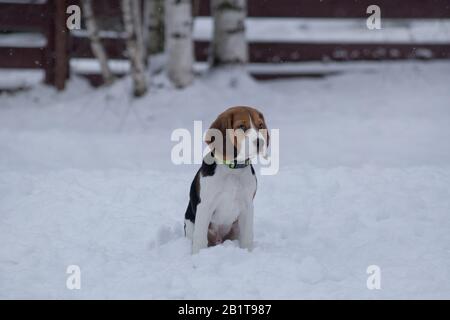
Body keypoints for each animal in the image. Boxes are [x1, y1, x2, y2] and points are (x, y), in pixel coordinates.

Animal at [185, 106, 268, 254]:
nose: (261, 142)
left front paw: (248, 253)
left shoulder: (247, 206)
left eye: (260, 125)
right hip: (189, 224)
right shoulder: (205, 206)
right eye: (241, 126)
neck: (233, 170)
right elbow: (200, 239)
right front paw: (198, 255)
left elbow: (247, 237)